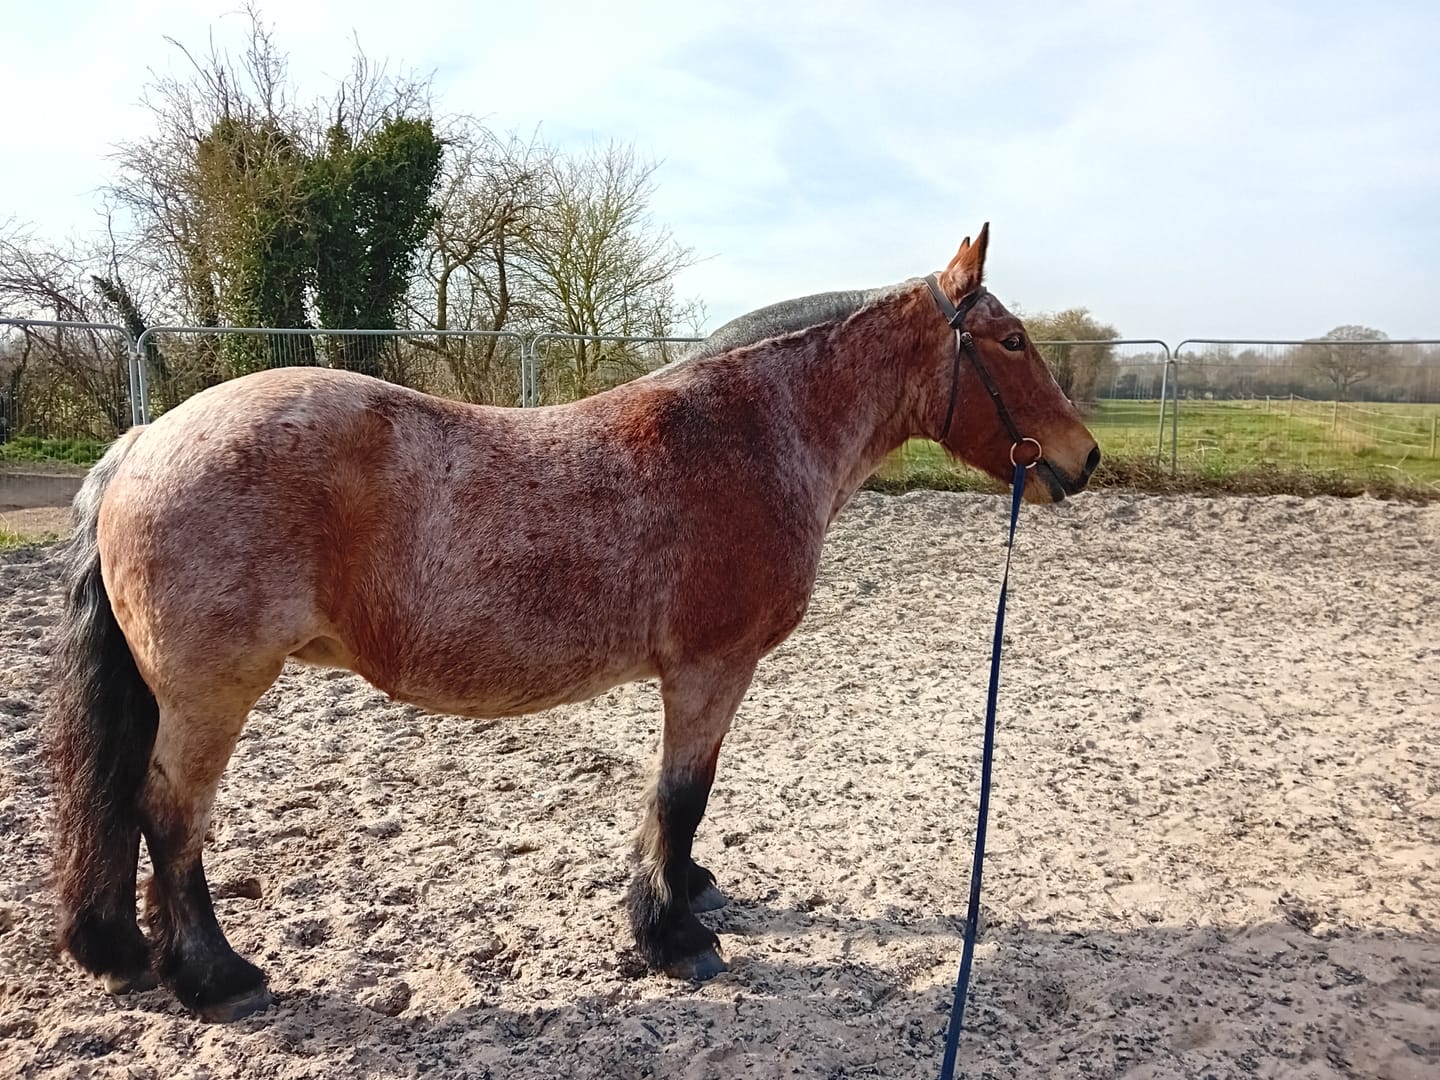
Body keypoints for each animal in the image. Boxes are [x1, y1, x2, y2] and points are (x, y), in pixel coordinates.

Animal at [47, 224, 1099, 1022]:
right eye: (1010, 341)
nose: (1083, 459)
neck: (750, 434)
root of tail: (145, 440)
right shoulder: (710, 669)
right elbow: (681, 797)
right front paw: (672, 936)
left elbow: (674, 806)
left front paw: (686, 892)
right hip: (212, 694)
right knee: (167, 814)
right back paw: (216, 978)